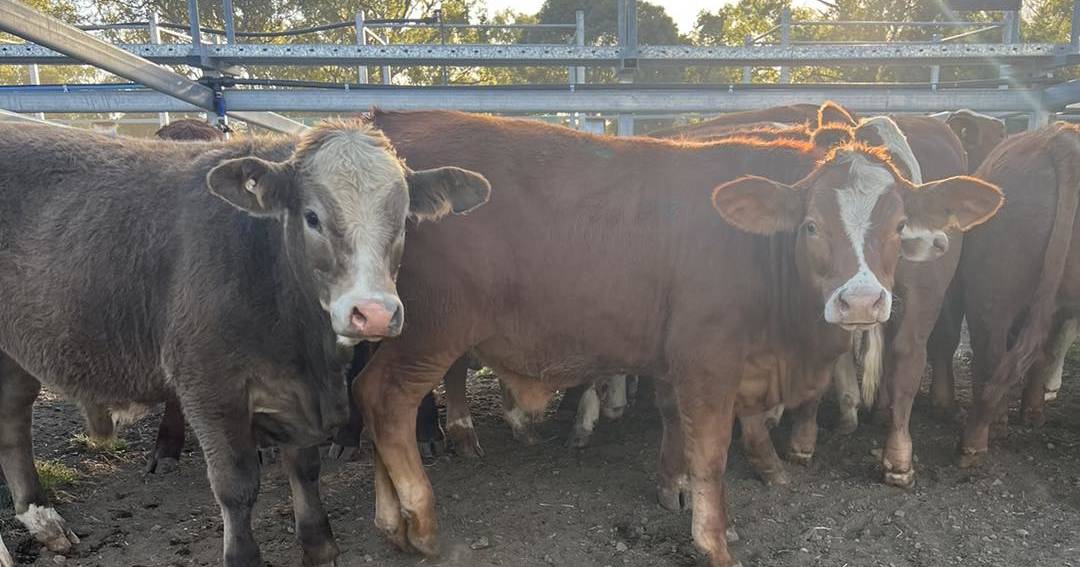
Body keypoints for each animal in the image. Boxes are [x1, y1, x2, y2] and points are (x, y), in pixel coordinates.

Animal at [0, 121, 490, 561]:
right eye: (312, 217)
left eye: (403, 219)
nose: (373, 313)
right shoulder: (207, 386)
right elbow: (236, 486)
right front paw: (243, 555)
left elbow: (305, 468)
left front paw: (319, 545)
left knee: (12, 418)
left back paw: (43, 520)